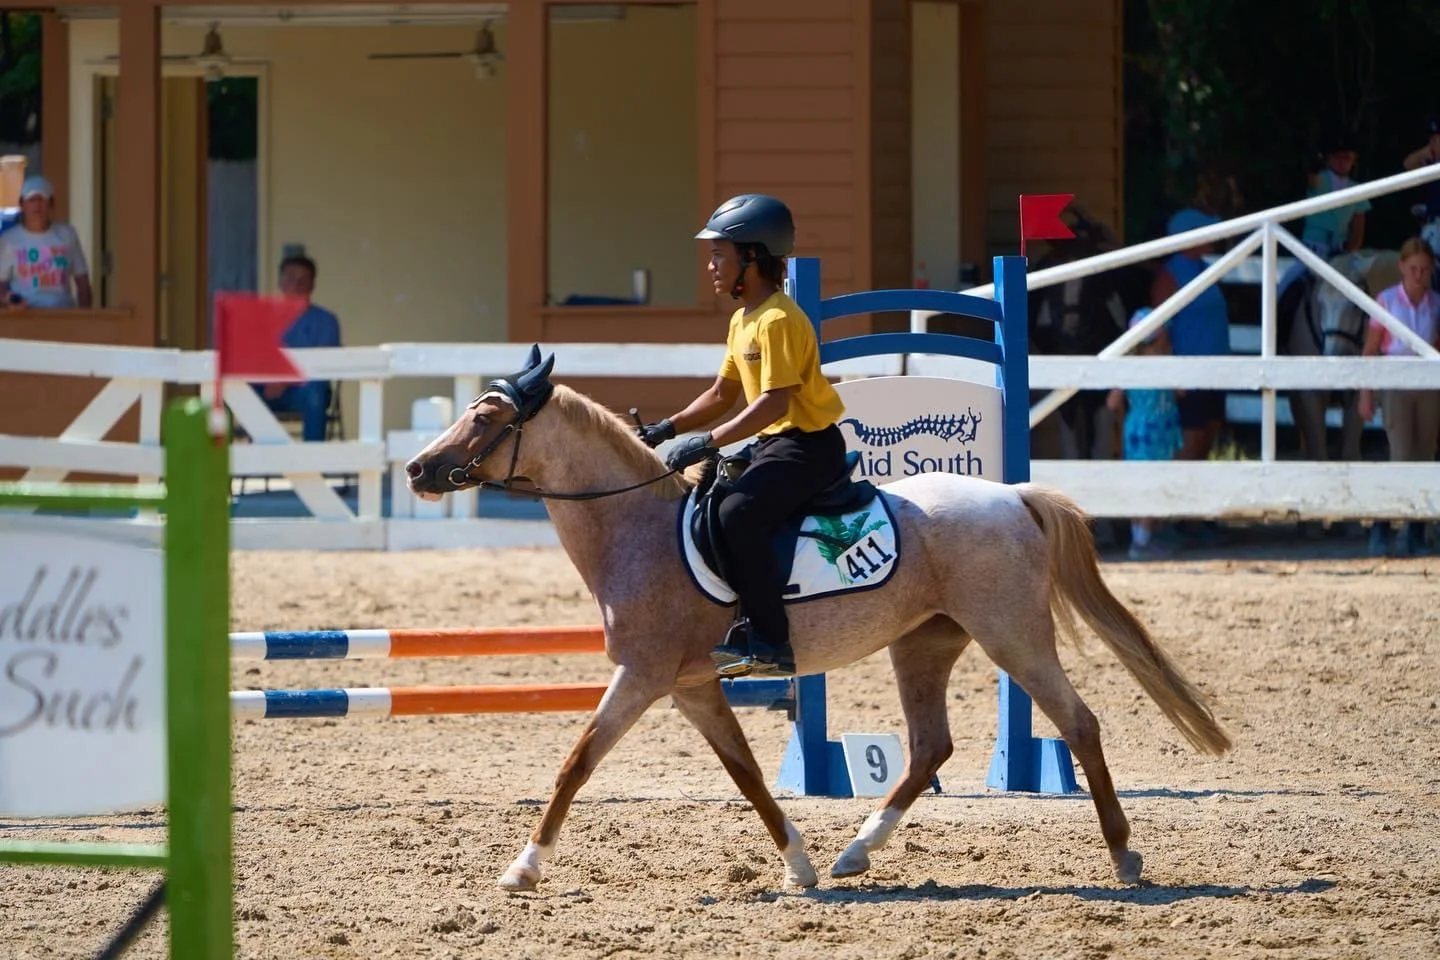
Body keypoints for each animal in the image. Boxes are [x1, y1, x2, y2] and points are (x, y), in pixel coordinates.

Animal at [403, 346, 1234, 893]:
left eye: (486, 416)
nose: (417, 469)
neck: (633, 525)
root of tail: (1012, 495)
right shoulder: (690, 685)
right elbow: (745, 774)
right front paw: (798, 863)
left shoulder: (642, 675)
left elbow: (577, 762)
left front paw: (522, 868)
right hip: (926, 643)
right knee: (930, 747)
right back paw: (854, 852)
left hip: (1013, 635)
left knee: (1078, 723)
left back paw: (1124, 856)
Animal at [1278, 249, 1401, 461]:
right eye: (1320, 303)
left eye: (1355, 305)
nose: (1334, 357)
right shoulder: (1311, 396)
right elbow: (1318, 447)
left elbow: (1350, 448)